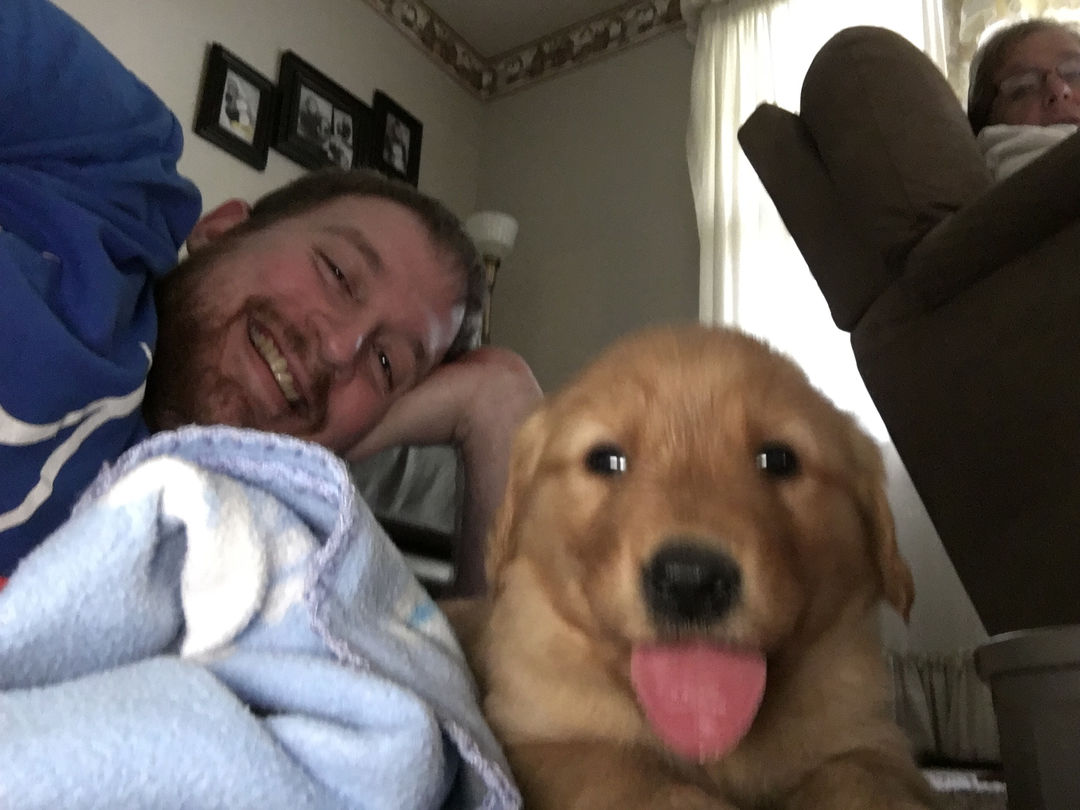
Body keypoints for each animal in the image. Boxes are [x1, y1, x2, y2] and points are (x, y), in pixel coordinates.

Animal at [444, 324, 939, 809]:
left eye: (778, 459)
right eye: (605, 459)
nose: (691, 581)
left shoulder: (869, 737)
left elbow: (864, 781)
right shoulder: (541, 739)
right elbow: (633, 778)